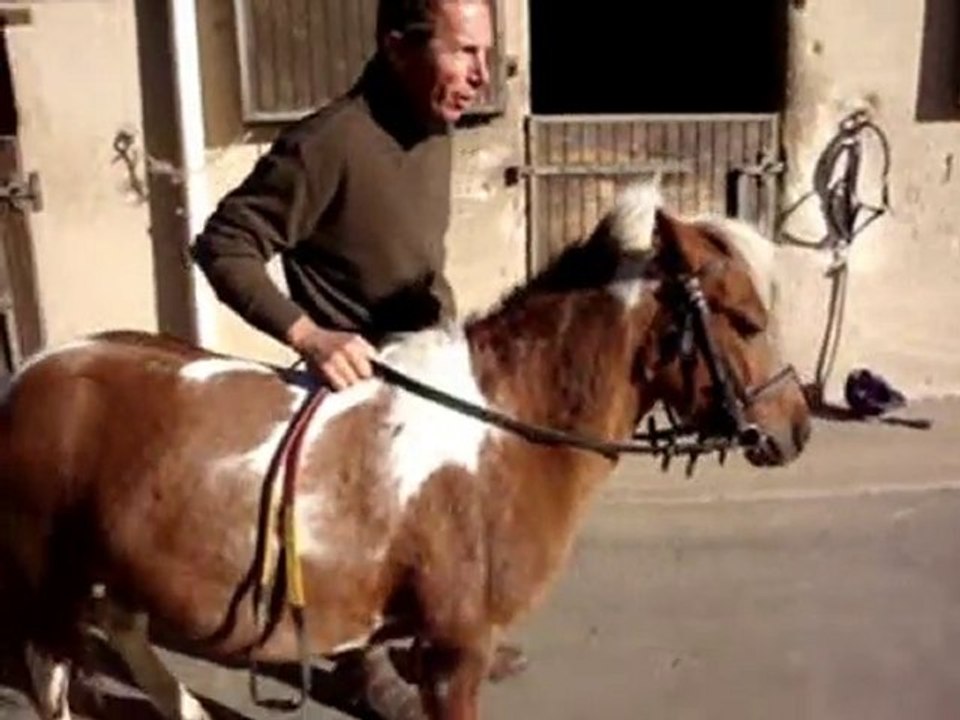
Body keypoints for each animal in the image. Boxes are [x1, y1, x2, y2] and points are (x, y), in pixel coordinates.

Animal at [0, 180, 810, 720]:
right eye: (744, 319)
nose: (796, 427)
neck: (501, 429)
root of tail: (32, 373)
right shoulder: (457, 649)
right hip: (48, 583)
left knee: (121, 628)